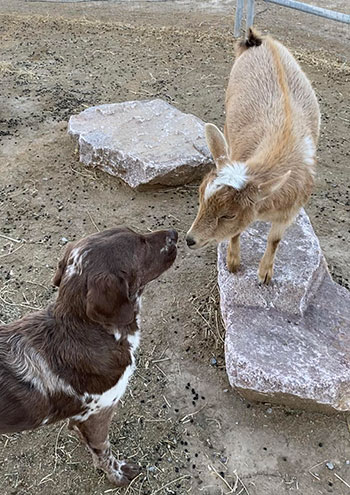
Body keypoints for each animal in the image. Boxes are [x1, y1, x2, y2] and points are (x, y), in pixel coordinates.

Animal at [0, 229, 178, 488]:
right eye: (141, 243)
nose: (175, 234)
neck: (88, 330)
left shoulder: (84, 416)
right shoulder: (99, 413)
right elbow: (104, 452)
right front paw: (118, 475)